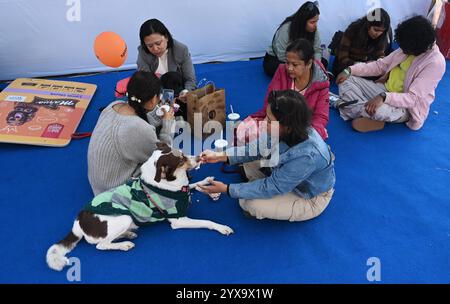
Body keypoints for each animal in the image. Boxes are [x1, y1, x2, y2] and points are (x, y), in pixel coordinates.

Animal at [47, 142, 234, 270]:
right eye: (180, 161)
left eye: (183, 154)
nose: (199, 157)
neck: (169, 184)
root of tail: (78, 222)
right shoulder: (178, 220)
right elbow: (207, 222)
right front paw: (222, 227)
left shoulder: (185, 190)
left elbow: (194, 185)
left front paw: (206, 181)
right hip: (123, 217)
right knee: (102, 245)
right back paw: (124, 244)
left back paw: (128, 234)